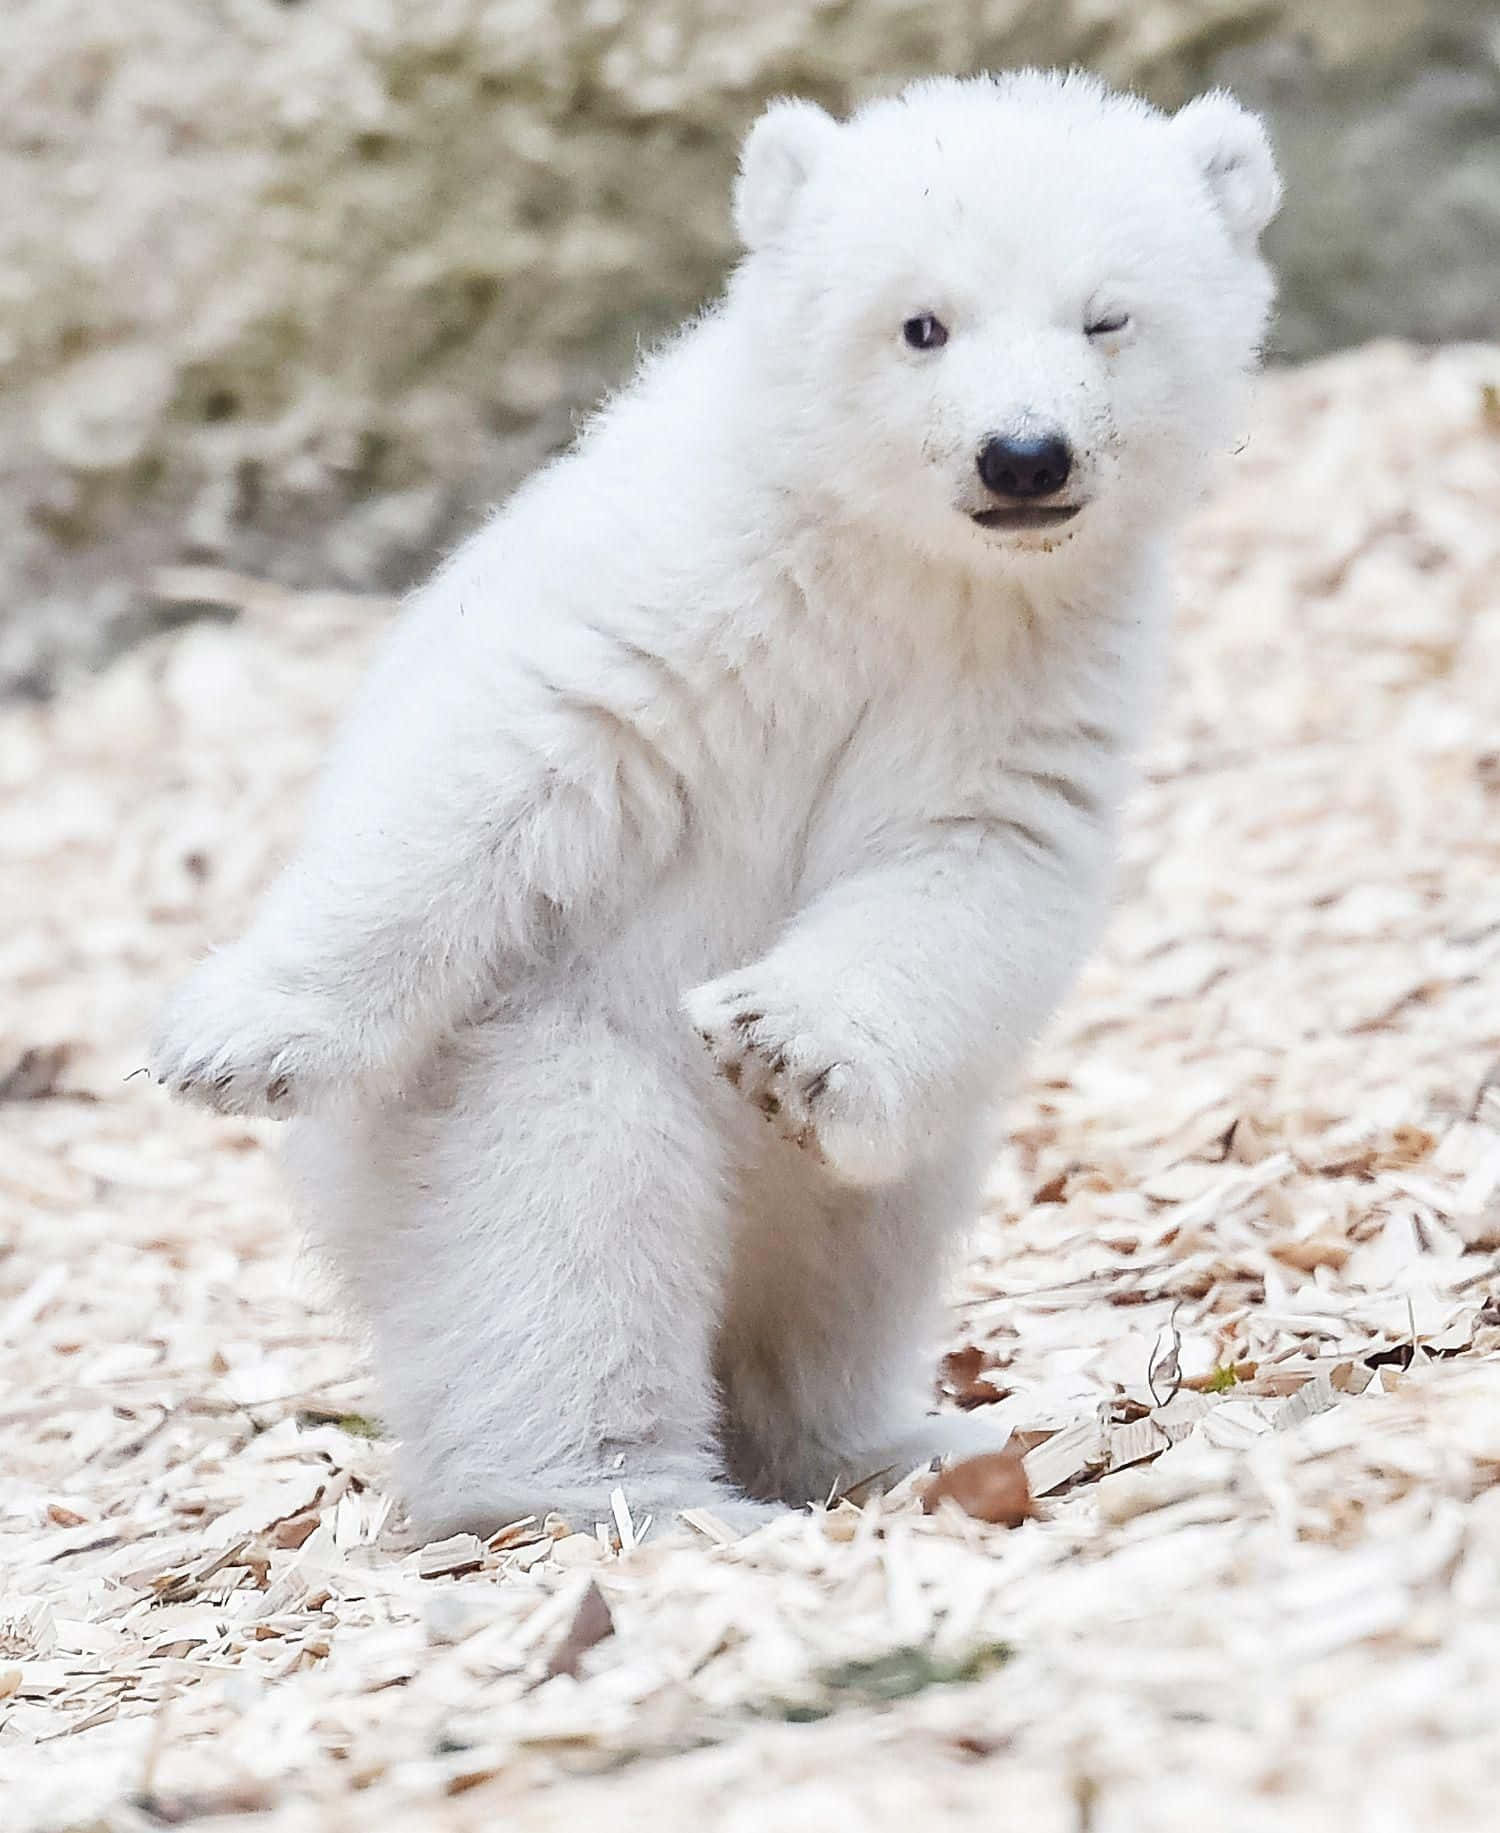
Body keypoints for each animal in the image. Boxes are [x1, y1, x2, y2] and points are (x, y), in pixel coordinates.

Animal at [152, 71, 1280, 1537]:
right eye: (921, 322)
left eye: (1109, 315)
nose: (1024, 457)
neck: (890, 563)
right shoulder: (683, 594)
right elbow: (494, 766)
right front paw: (238, 1036)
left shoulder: (1026, 666)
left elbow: (967, 857)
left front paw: (781, 1042)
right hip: (506, 1063)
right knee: (569, 1211)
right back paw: (614, 1484)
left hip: (893, 1167)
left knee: (855, 1255)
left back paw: (876, 1439)